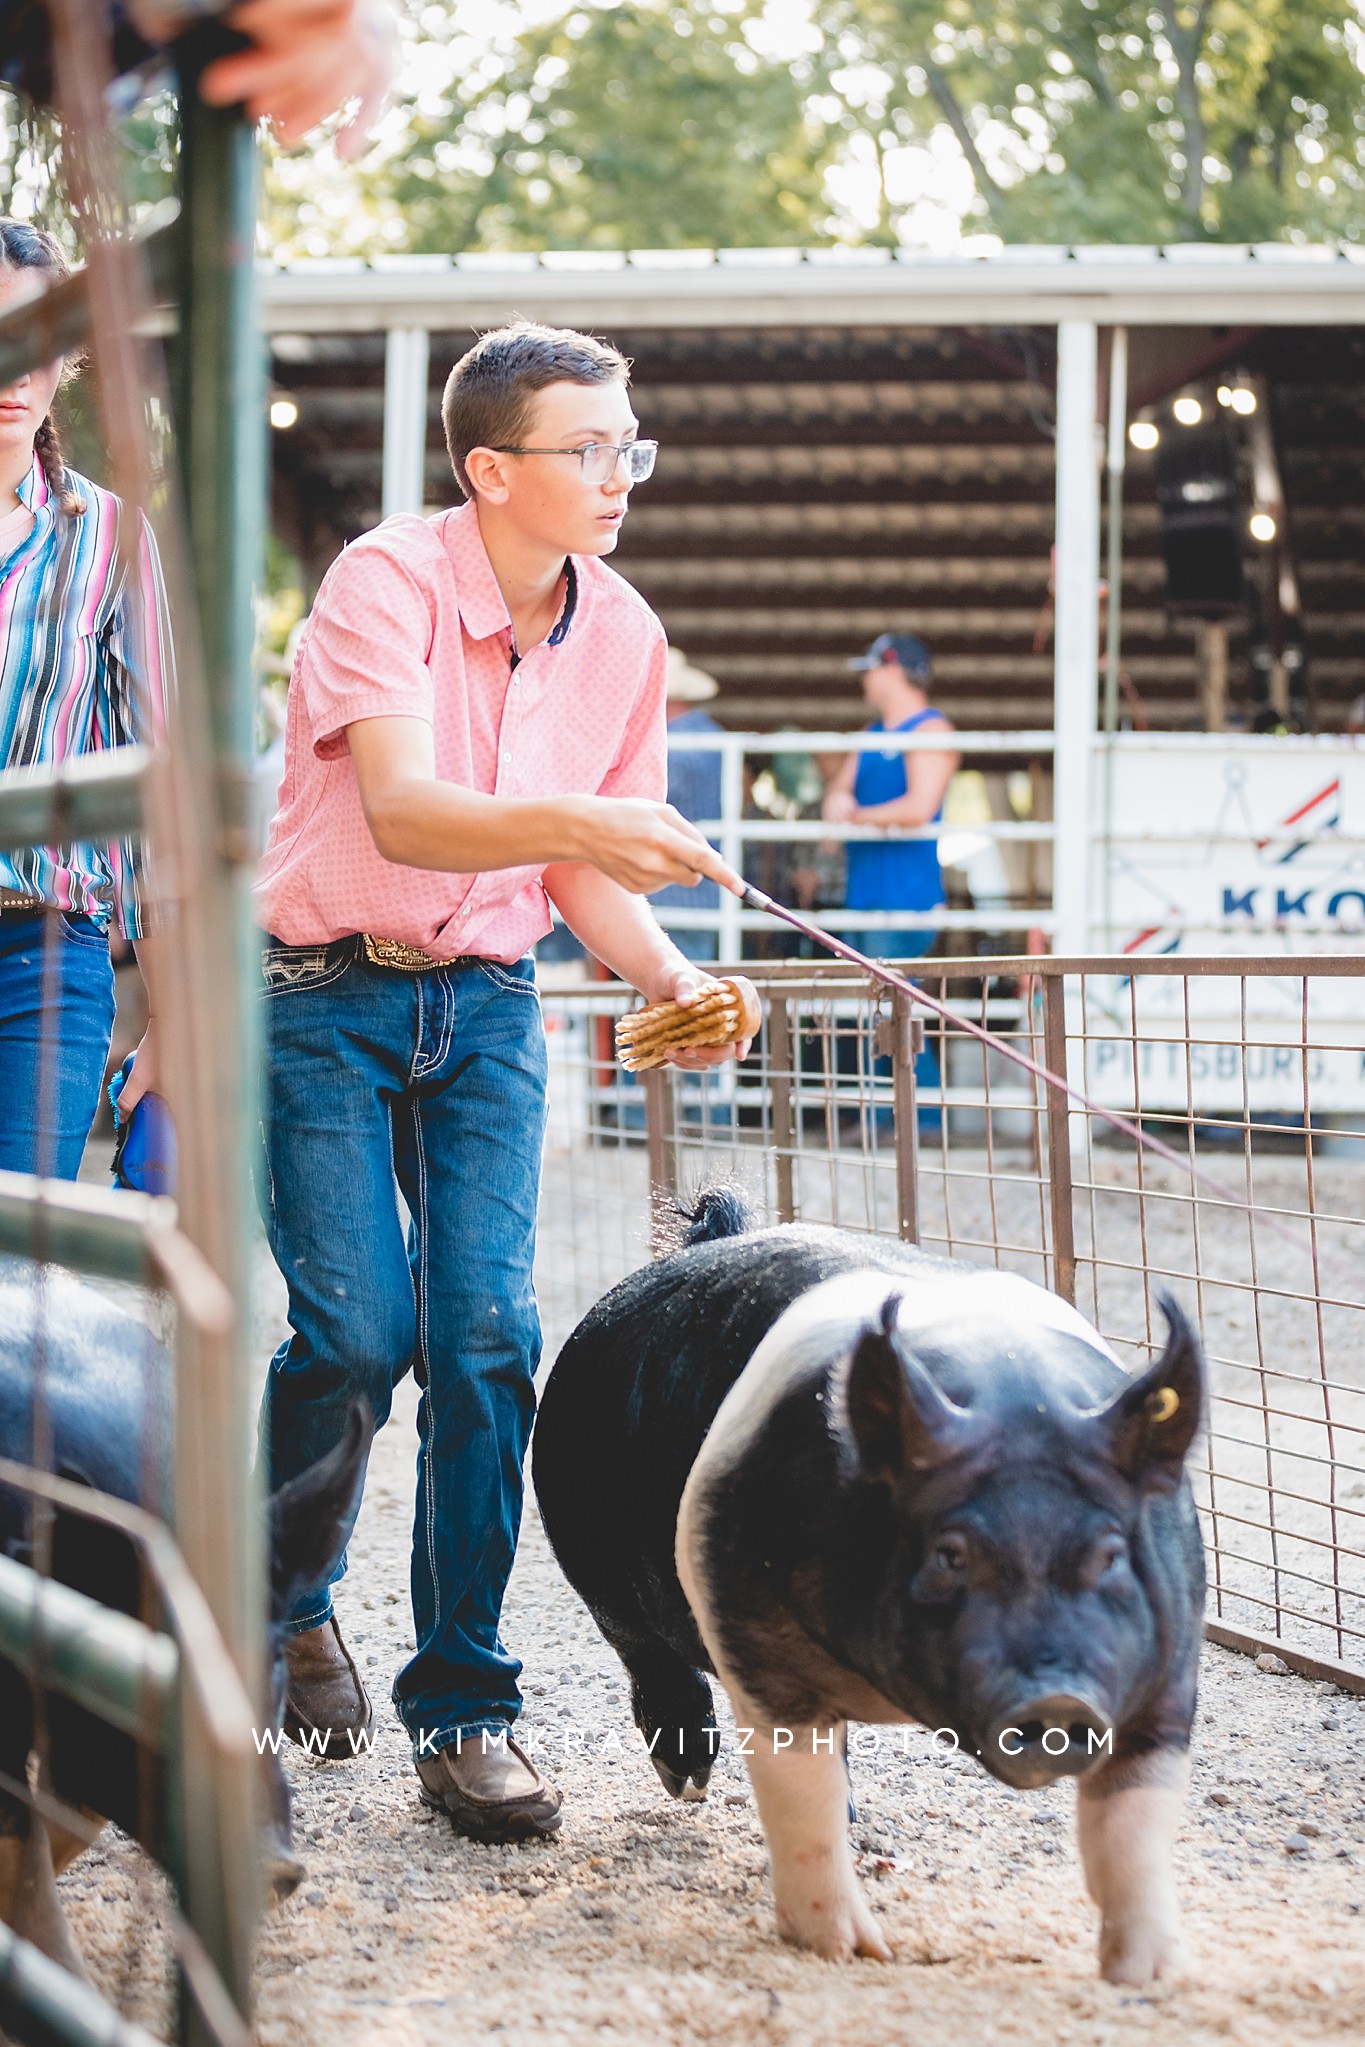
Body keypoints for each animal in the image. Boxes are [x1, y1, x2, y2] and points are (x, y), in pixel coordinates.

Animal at [532, 1187, 1203, 1981]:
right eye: (948, 1553)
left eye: (1109, 1554)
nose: (1057, 1697)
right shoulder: (750, 1631)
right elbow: (800, 1797)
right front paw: (852, 1952)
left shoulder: (1168, 1652)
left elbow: (1133, 1819)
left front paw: (1152, 1975)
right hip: (589, 1551)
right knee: (648, 1658)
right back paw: (687, 1782)